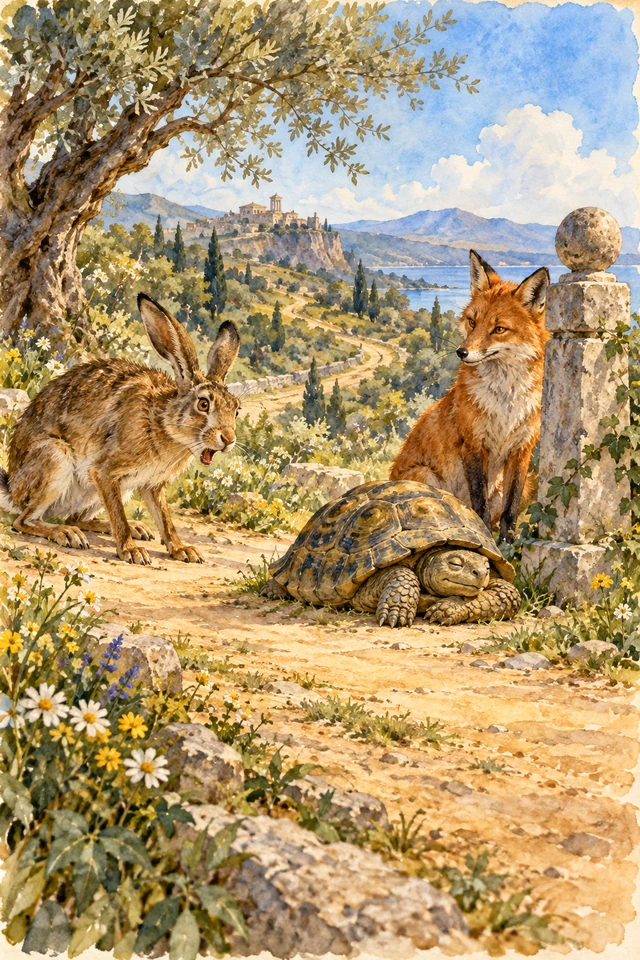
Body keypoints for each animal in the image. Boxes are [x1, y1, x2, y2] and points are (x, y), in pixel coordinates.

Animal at [390, 250, 550, 542]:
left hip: (527, 484)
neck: (505, 402)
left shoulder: (522, 449)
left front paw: (508, 545)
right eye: (472, 322)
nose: (461, 352)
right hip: (426, 477)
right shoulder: (474, 445)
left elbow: (510, 510)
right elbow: (480, 505)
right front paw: (486, 539)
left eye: (499, 329)